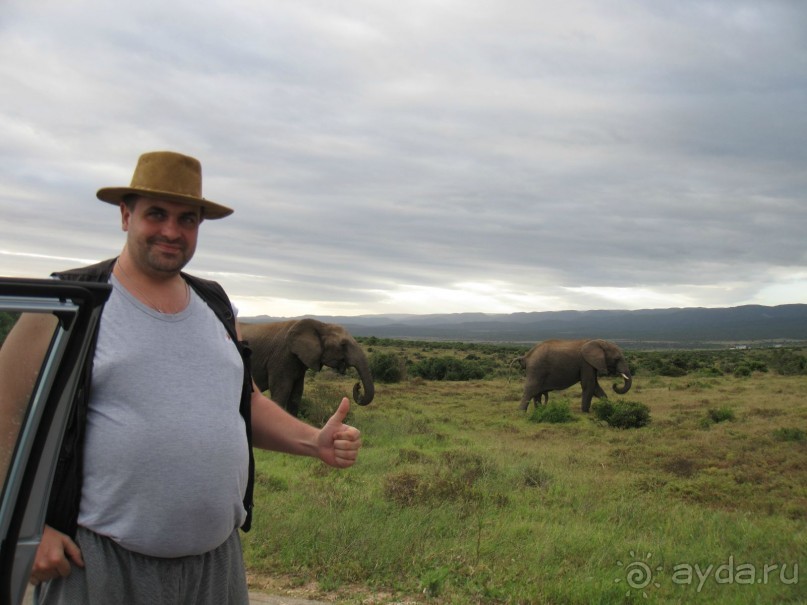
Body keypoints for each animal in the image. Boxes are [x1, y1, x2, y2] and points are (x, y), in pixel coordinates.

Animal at [240, 320, 376, 416]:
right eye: (343, 344)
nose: (358, 385)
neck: (321, 325)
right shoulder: (281, 358)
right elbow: (281, 392)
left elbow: (296, 396)